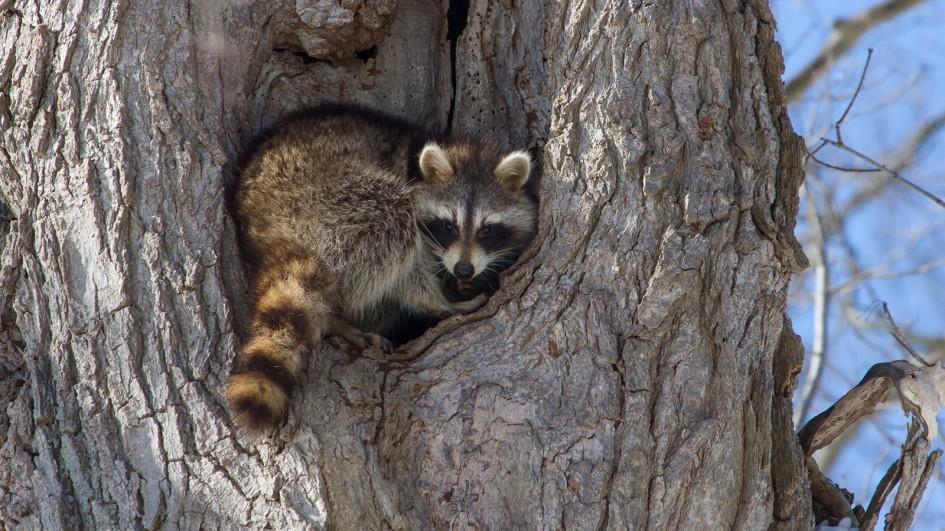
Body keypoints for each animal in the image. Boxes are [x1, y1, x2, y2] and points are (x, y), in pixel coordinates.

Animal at [226, 105, 540, 432]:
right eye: (448, 226)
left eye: (487, 229)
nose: (464, 270)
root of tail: (259, 217)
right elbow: (409, 276)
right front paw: (441, 301)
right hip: (329, 199)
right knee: (390, 217)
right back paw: (341, 317)